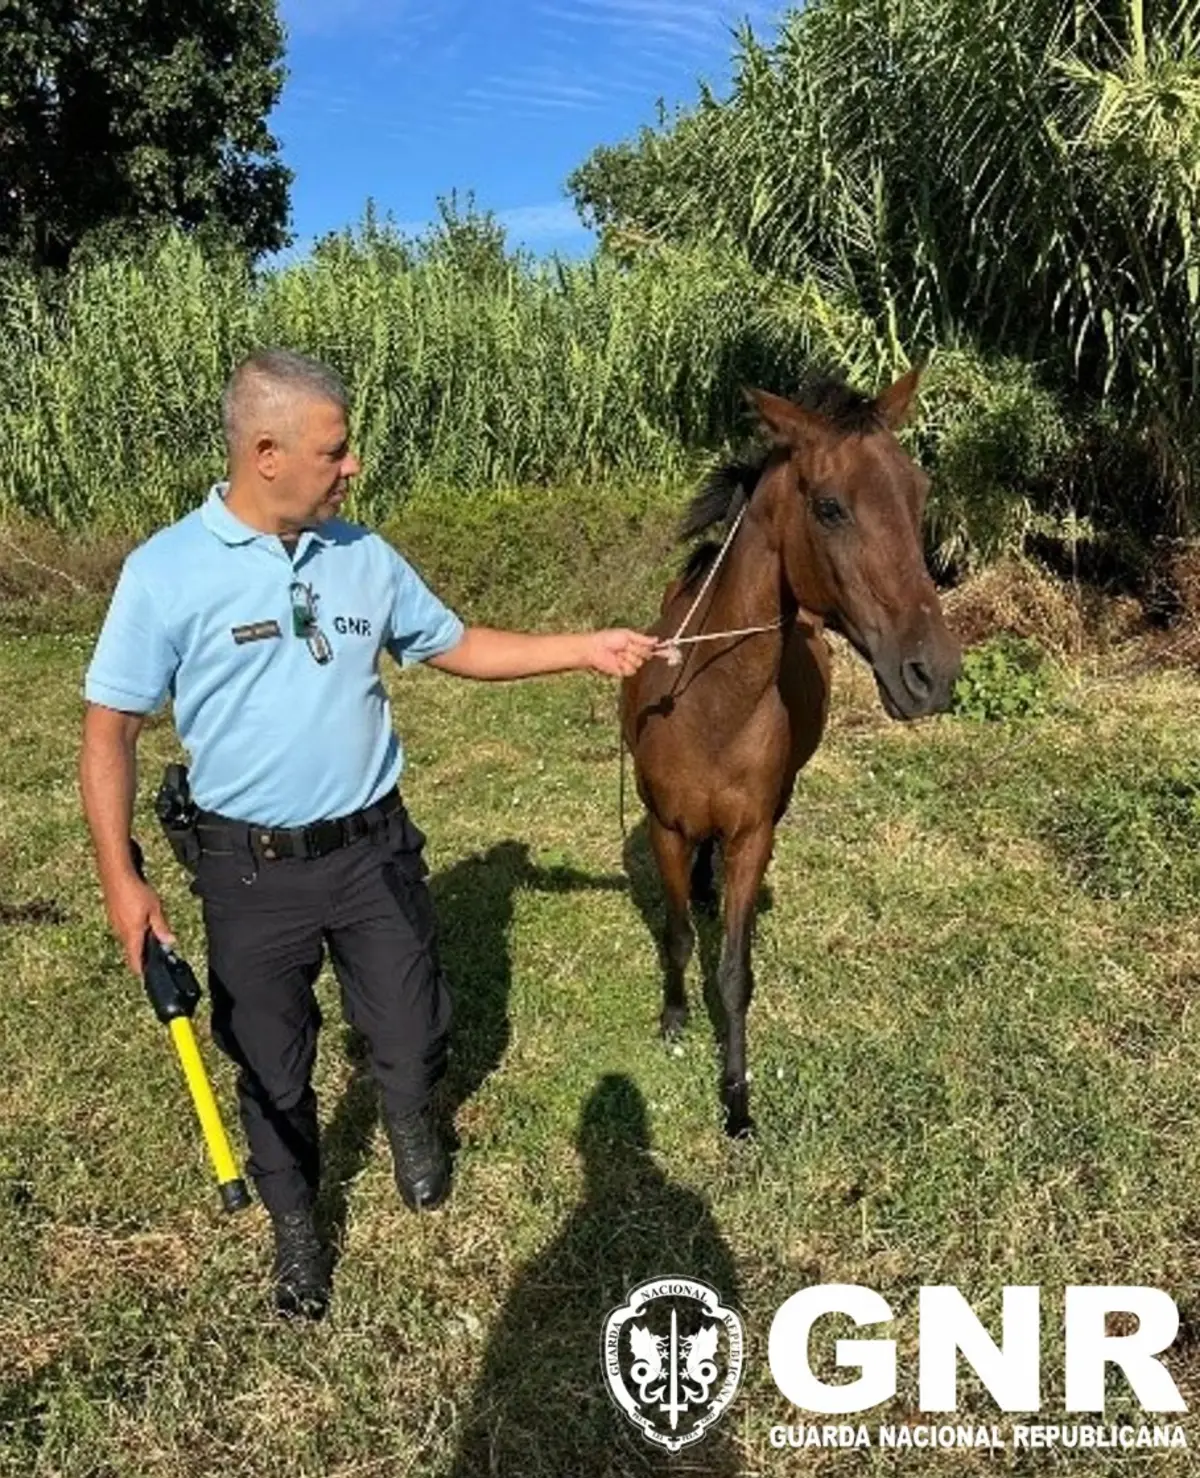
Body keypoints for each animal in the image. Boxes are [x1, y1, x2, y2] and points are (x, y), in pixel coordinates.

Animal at [620, 366, 961, 1137]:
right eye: (830, 507)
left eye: (919, 491)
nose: (932, 675)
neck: (708, 706)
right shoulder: (665, 829)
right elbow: (678, 935)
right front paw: (674, 1019)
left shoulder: (752, 835)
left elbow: (735, 972)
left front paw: (737, 1103)